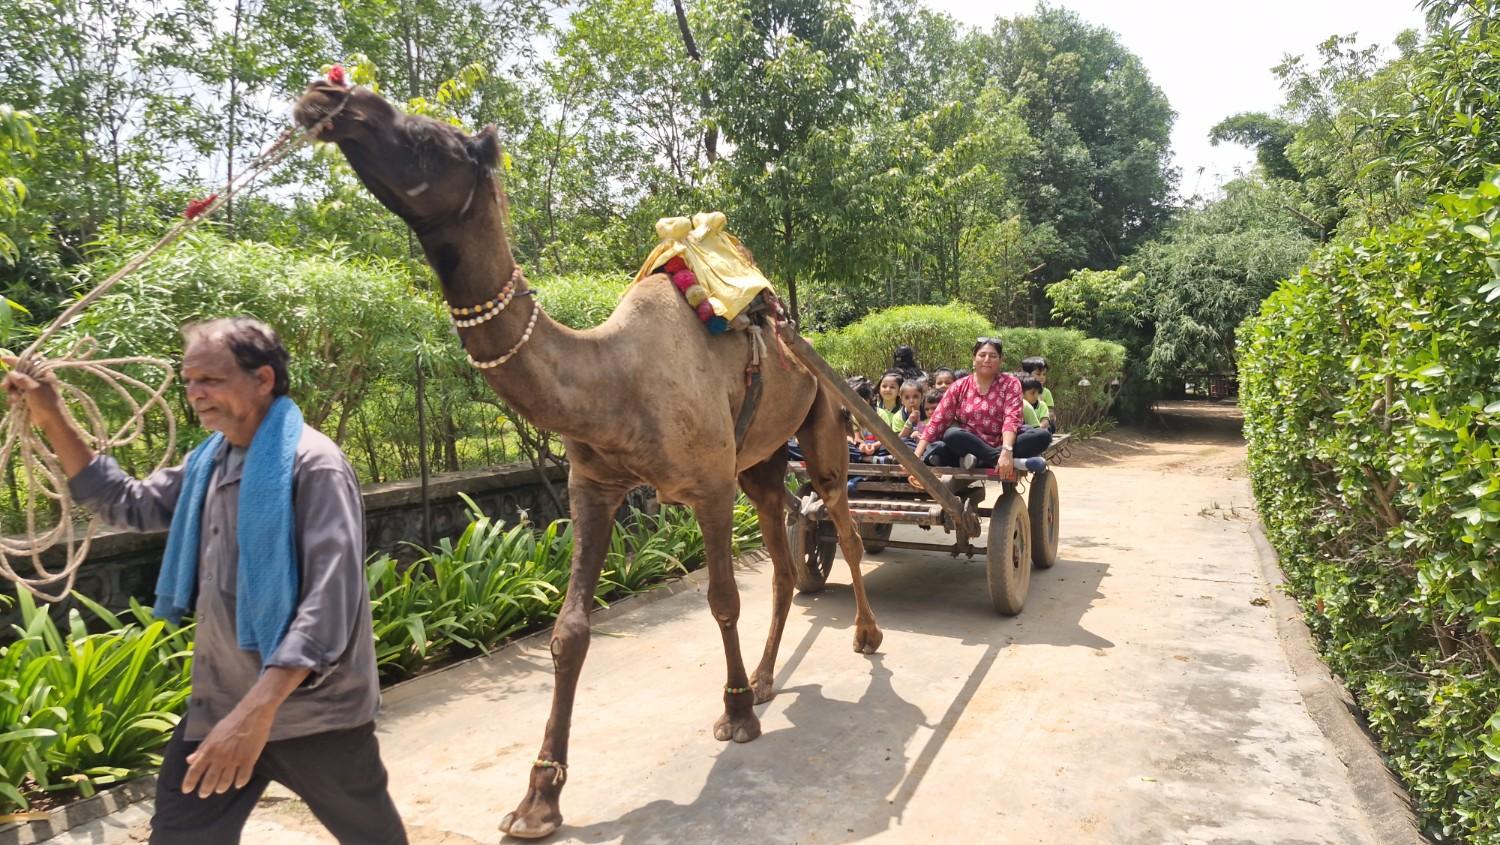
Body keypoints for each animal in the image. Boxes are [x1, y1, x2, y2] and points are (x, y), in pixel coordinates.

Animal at [293, 81, 882, 839]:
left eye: (431, 138)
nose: (331, 95)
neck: (613, 380)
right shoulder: (593, 485)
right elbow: (568, 631)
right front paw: (538, 798)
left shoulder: (709, 484)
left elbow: (721, 599)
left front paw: (734, 714)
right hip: (762, 460)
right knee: (784, 556)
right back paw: (767, 677)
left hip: (822, 422)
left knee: (843, 520)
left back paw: (863, 637)